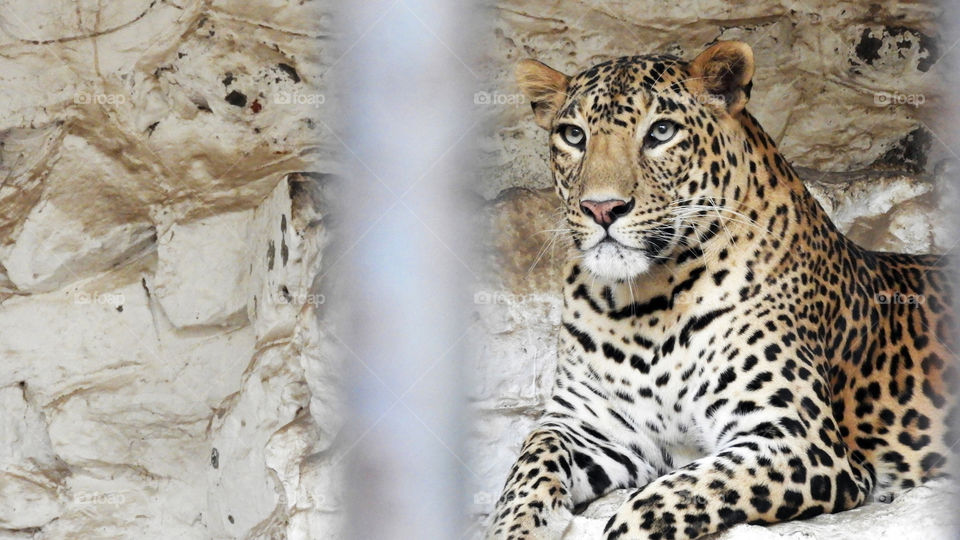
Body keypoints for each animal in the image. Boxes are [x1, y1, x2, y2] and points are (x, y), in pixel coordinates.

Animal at [486, 41, 957, 540]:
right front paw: (513, 528)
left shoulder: (800, 440)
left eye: (662, 131)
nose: (602, 208)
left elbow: (665, 497)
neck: (646, 306)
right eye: (574, 136)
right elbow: (529, 462)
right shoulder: (589, 426)